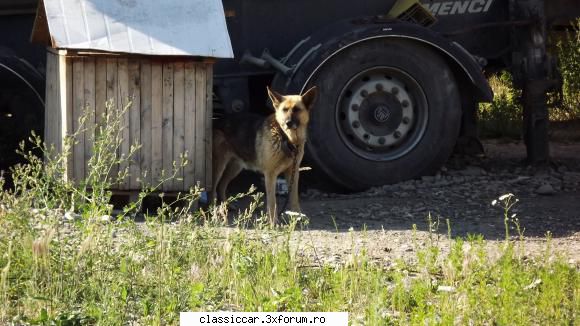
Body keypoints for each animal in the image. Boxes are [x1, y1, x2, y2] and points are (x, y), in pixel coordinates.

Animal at [211, 86, 318, 224]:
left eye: (297, 110)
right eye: (284, 110)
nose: (288, 123)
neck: (286, 138)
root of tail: (215, 121)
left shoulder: (293, 173)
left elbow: (294, 199)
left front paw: (298, 217)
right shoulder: (270, 175)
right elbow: (272, 202)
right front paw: (273, 222)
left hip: (235, 167)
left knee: (221, 186)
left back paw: (226, 206)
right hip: (219, 167)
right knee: (213, 189)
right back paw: (213, 212)